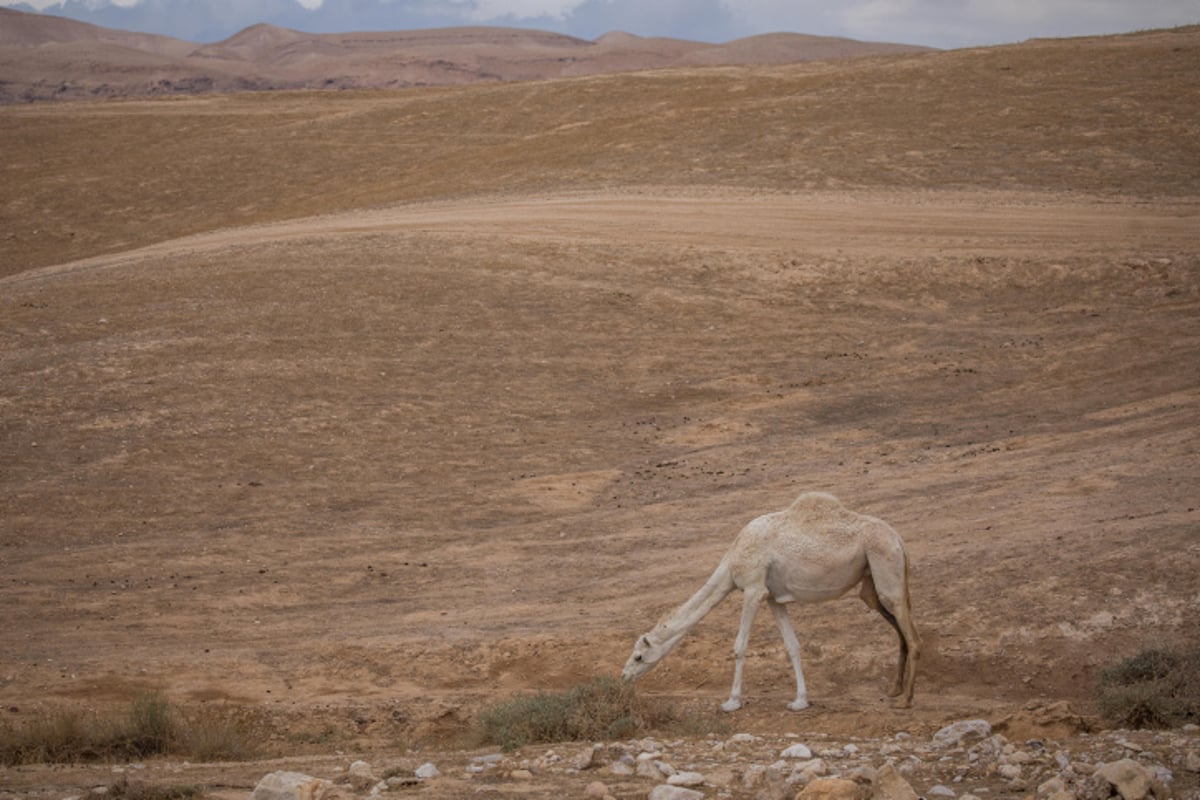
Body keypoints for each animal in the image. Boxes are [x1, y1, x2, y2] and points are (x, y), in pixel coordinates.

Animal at [619, 494, 916, 714]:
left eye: (639, 656)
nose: (624, 677)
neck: (732, 560)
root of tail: (900, 541)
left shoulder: (753, 589)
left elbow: (739, 646)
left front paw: (731, 702)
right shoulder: (773, 597)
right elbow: (792, 645)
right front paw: (800, 701)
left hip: (886, 569)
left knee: (912, 636)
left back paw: (906, 700)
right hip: (872, 585)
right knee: (901, 629)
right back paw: (895, 690)